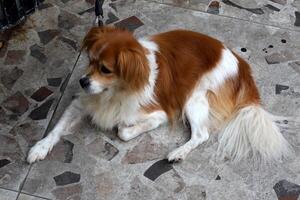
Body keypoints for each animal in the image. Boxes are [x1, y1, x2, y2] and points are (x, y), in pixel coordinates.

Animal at [27, 26, 292, 164]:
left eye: (105, 69)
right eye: (90, 61)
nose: (82, 81)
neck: (115, 91)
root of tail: (241, 64)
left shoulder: (160, 113)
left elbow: (123, 131)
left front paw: (123, 127)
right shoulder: (82, 103)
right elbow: (57, 129)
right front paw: (40, 147)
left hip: (193, 99)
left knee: (202, 135)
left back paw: (177, 153)